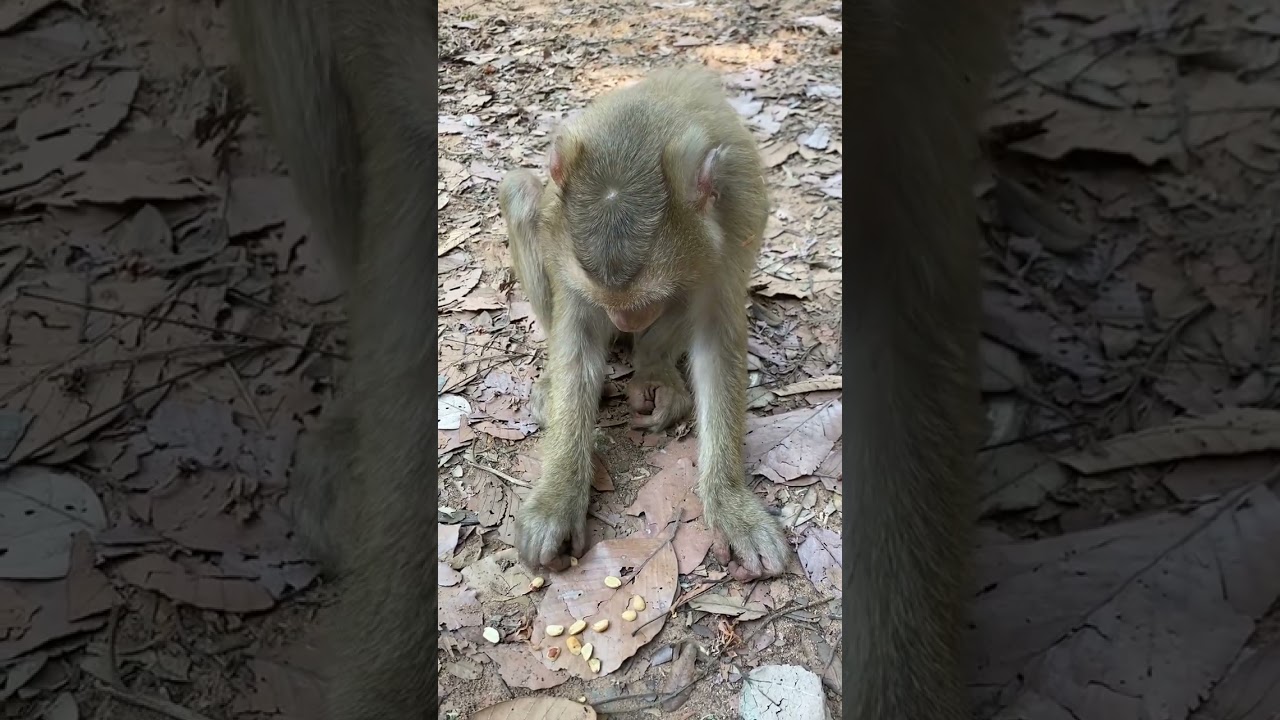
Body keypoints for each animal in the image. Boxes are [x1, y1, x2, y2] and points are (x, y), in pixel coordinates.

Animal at [499, 66, 791, 579]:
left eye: (649, 296)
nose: (625, 318)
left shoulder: (735, 214)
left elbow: (715, 336)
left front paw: (730, 501)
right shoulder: (562, 236)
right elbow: (577, 333)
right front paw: (558, 495)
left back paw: (655, 371)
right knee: (518, 191)